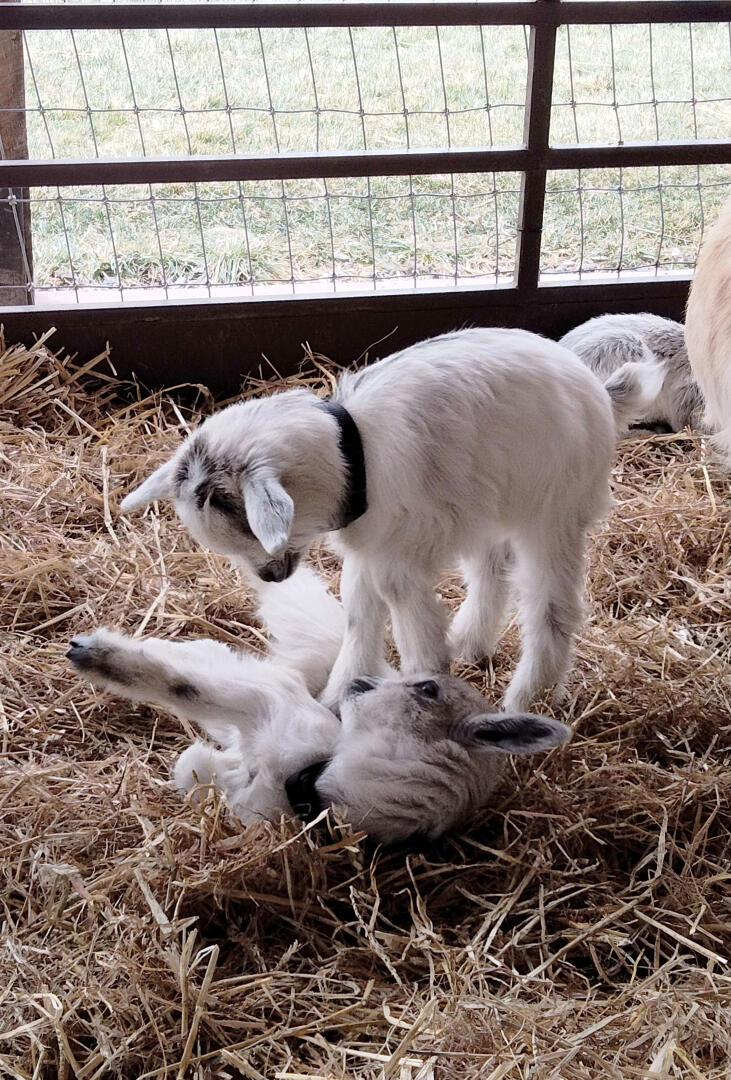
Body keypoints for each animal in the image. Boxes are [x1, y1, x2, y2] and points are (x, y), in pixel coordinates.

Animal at [67, 567, 570, 845]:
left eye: (428, 690)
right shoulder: (272, 709)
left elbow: (187, 695)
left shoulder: (269, 709)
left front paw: (96, 655)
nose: (361, 683)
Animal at [119, 327, 658, 712]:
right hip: (487, 504)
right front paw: (336, 697)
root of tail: (600, 392)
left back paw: (530, 700)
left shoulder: (399, 558)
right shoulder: (370, 550)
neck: (353, 453)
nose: (270, 575)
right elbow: (359, 616)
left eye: (250, 531)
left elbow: (411, 629)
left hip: (552, 511)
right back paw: (471, 642)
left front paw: (421, 691)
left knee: (551, 606)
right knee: (491, 570)